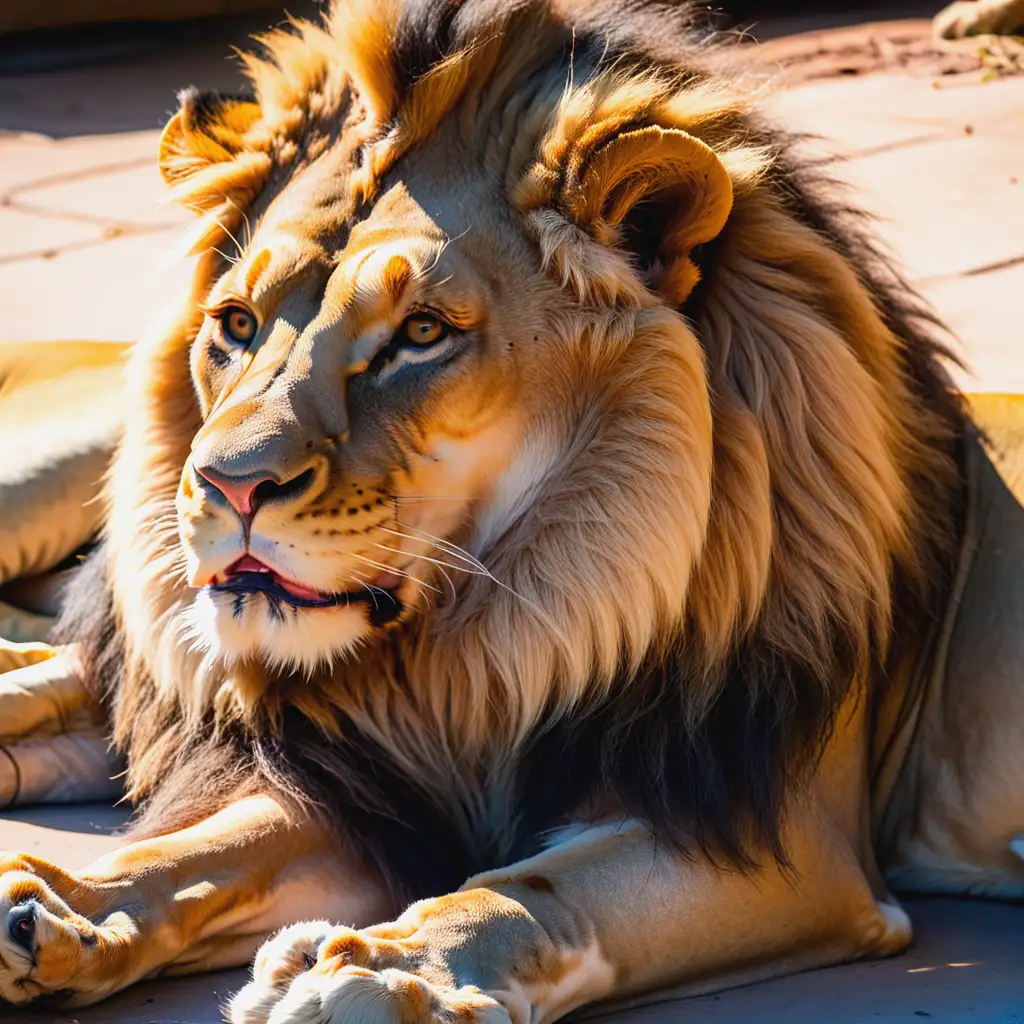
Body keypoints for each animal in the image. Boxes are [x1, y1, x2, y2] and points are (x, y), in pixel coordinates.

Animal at [2, 2, 1024, 1015]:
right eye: (237, 325)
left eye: (421, 333)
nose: (226, 484)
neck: (489, 645)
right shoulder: (368, 776)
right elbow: (206, 848)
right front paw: (68, 903)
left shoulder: (790, 839)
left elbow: (539, 891)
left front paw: (386, 971)